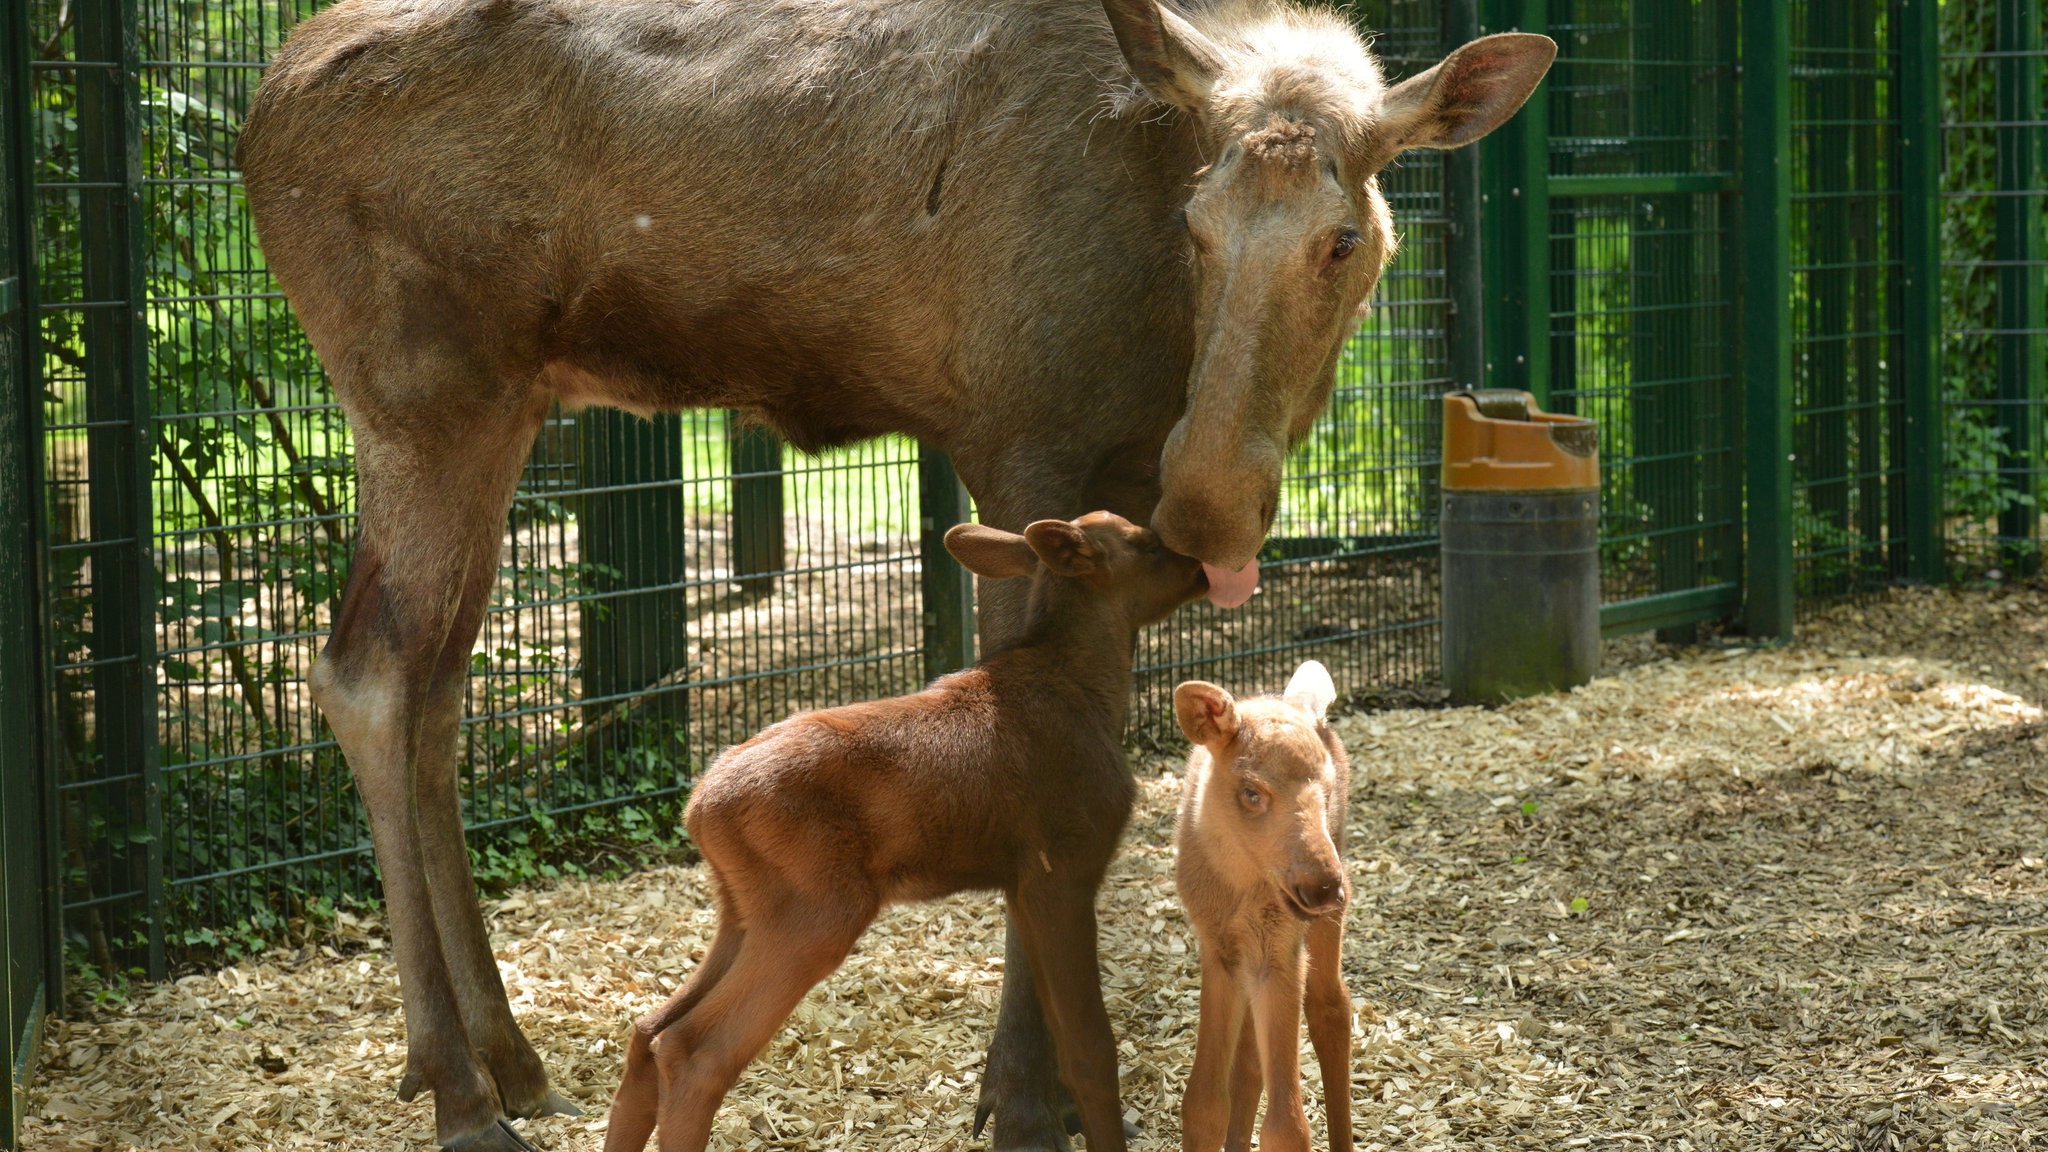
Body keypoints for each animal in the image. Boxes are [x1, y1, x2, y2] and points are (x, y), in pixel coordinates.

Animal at [606, 510, 1204, 1147]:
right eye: (1147, 544)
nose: (1199, 567)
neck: (1094, 691)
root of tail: (698, 808)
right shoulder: (1061, 868)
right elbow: (1092, 1047)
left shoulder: (1021, 885)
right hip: (817, 909)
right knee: (695, 1050)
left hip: (742, 910)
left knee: (648, 1030)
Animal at [1171, 660, 1359, 1147]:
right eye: (1252, 792)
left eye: (1326, 790)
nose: (1324, 886)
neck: (1241, 888)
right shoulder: (1219, 950)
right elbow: (1203, 1103)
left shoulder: (1281, 952)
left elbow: (1287, 1127)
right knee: (1249, 1062)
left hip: (1320, 925)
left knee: (1331, 1005)